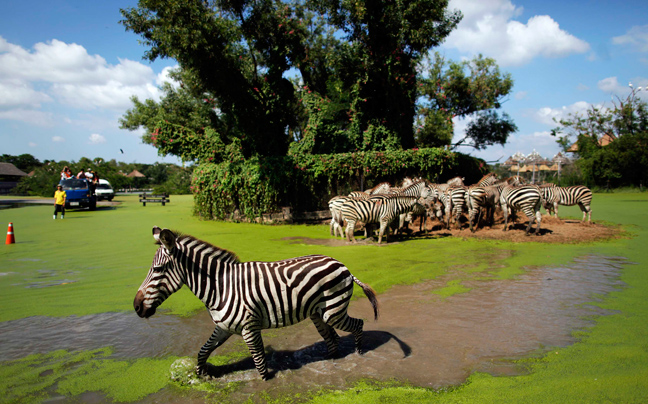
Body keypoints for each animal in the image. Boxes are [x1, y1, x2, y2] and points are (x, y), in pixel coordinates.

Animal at [136, 229, 380, 380]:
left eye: (157, 270)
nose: (136, 307)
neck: (220, 287)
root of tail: (342, 264)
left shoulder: (250, 328)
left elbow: (260, 364)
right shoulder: (223, 327)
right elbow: (203, 351)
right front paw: (200, 375)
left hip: (333, 311)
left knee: (358, 324)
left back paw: (359, 353)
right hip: (318, 314)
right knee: (332, 339)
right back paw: (329, 361)